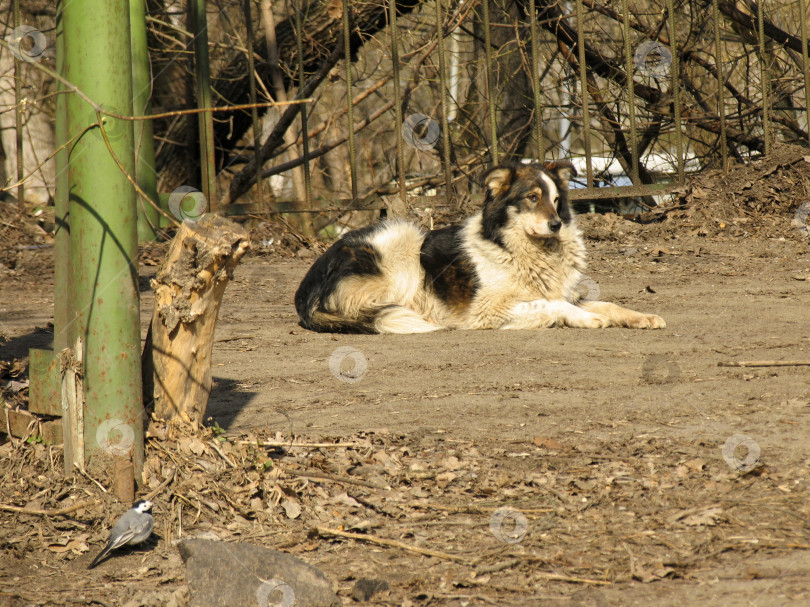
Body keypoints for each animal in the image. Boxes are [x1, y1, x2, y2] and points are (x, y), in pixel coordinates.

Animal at [294, 162, 664, 332]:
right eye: (532, 198)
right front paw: (584, 319)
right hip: (403, 241)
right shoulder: (488, 310)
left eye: (557, 201)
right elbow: (553, 305)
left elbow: (608, 304)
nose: (556, 225)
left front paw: (642, 317)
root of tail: (304, 292)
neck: (517, 249)